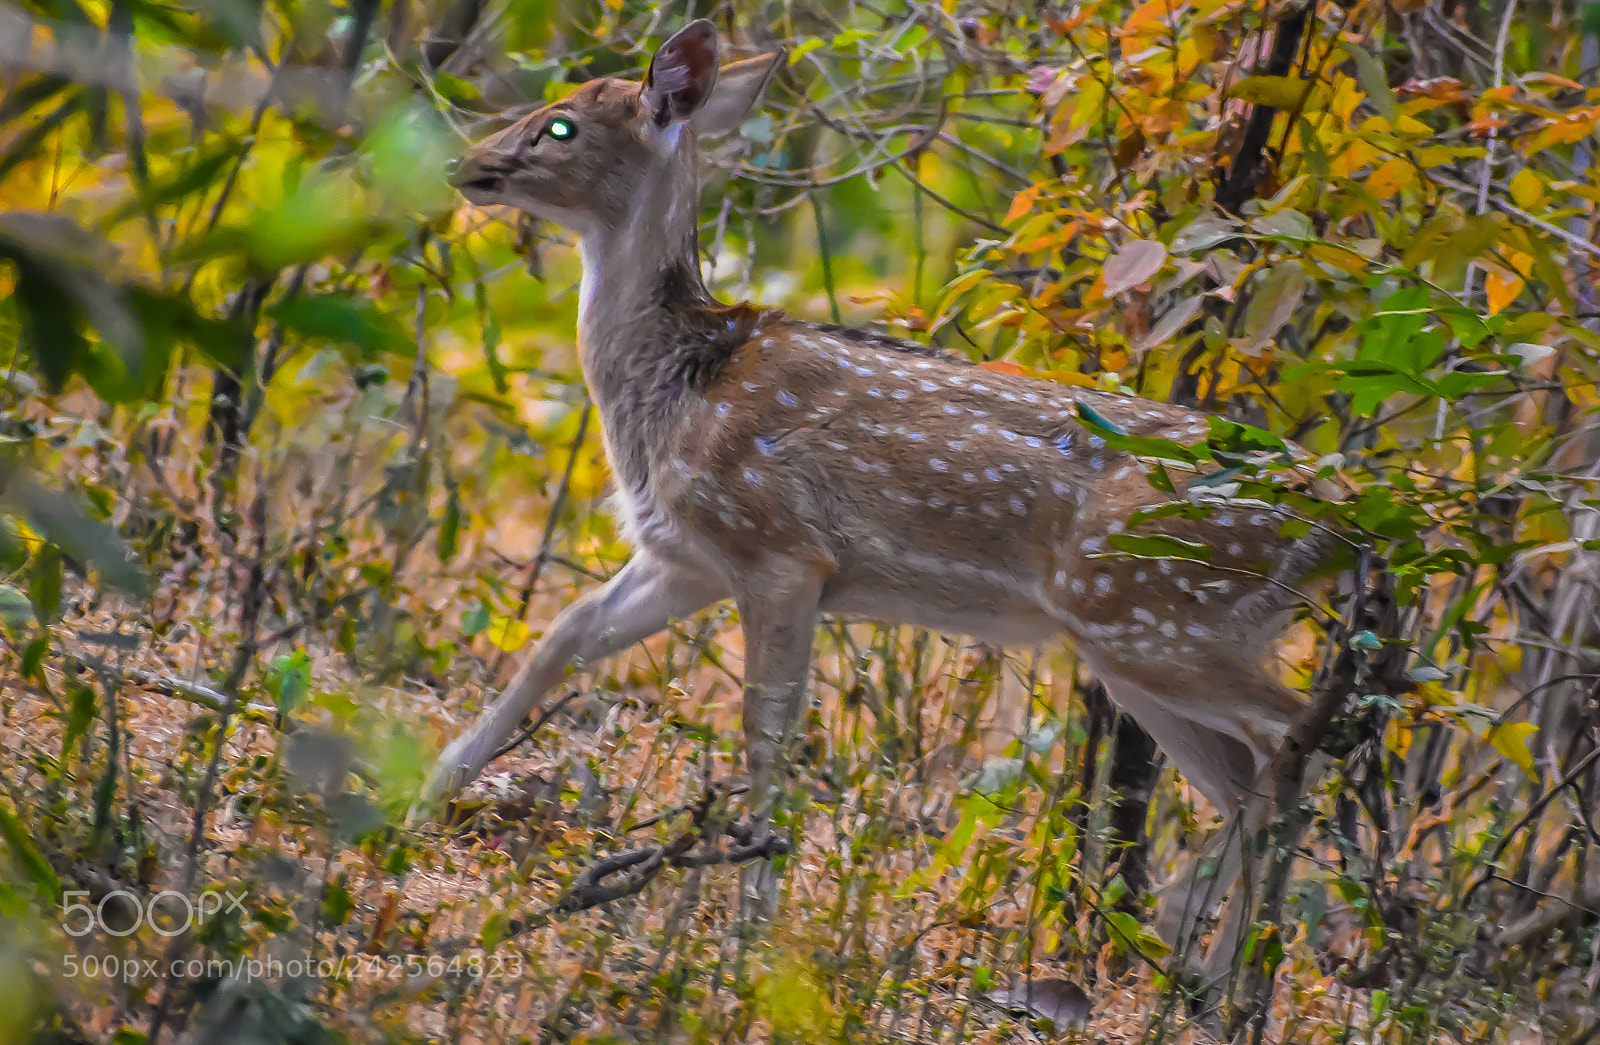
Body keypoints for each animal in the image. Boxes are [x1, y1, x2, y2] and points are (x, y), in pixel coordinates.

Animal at [427, 18, 1345, 983]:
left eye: (560, 125)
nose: (465, 165)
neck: (681, 386)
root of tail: (1343, 514)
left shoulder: (781, 547)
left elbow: (766, 735)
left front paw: (748, 937)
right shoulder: (687, 557)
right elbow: (560, 634)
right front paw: (429, 787)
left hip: (1156, 617)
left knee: (1295, 739)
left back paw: (1215, 963)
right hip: (1139, 646)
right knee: (1248, 775)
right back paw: (1203, 967)